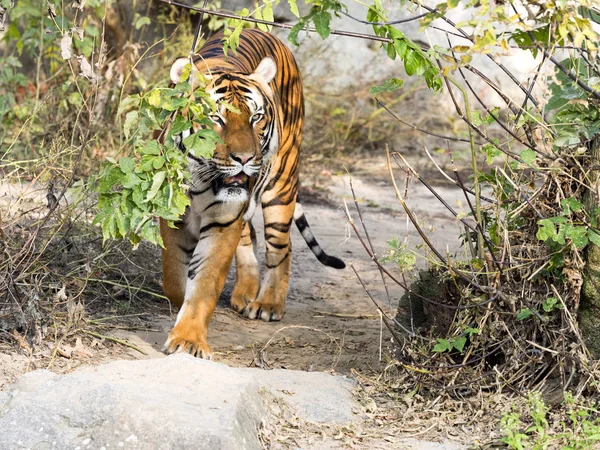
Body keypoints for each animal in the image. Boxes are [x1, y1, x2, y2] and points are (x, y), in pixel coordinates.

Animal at [162, 27, 344, 358]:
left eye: (256, 117)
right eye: (216, 118)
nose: (245, 159)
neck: (202, 179)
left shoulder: (223, 220)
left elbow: (205, 280)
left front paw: (188, 339)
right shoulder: (171, 212)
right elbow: (173, 277)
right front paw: (181, 303)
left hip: (282, 185)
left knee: (281, 246)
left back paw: (268, 303)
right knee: (250, 237)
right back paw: (245, 293)